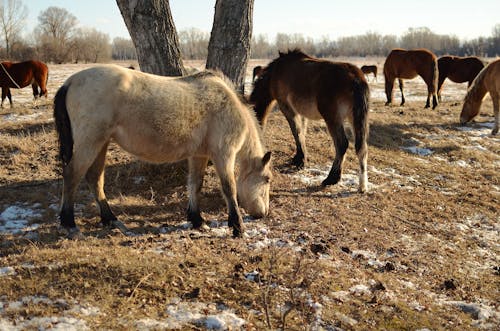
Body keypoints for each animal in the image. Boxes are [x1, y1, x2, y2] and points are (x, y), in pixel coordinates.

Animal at [53, 65, 272, 239]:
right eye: (267, 179)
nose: (263, 213)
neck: (229, 105)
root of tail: (70, 82)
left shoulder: (199, 155)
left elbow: (195, 184)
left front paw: (197, 220)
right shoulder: (223, 154)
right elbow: (229, 188)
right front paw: (238, 228)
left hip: (101, 143)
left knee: (94, 178)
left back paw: (111, 219)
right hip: (90, 143)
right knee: (72, 175)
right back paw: (70, 225)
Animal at [250, 50, 372, 193]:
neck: (276, 71)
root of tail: (356, 78)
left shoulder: (286, 107)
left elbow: (296, 131)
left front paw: (300, 160)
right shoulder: (301, 113)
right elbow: (301, 133)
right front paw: (301, 158)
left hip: (333, 119)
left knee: (341, 144)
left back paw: (331, 179)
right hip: (355, 119)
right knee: (362, 148)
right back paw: (362, 186)